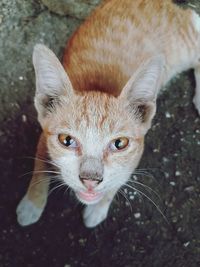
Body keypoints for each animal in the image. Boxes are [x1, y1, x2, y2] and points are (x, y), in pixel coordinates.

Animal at [16, 0, 199, 229]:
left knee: (193, 24)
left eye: (119, 143)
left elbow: (118, 180)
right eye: (66, 140)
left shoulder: (136, 153)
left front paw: (99, 207)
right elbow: (39, 165)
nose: (91, 180)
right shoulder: (44, 135)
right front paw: (31, 204)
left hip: (182, 50)